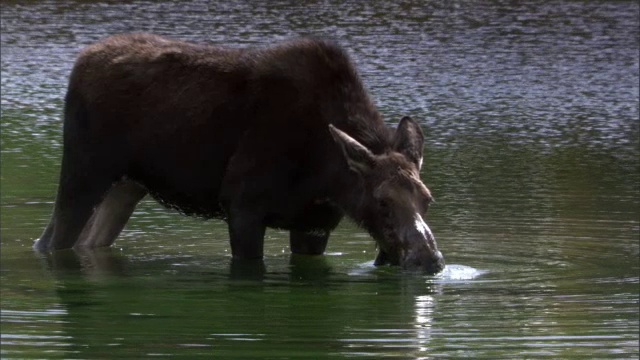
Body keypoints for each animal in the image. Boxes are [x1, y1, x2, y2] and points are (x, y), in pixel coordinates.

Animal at [35, 35, 444, 274]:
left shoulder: (314, 223)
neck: (328, 176)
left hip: (127, 186)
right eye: (382, 201)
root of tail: (79, 63)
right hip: (84, 172)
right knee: (53, 238)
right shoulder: (243, 205)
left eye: (427, 199)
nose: (430, 259)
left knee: (85, 239)